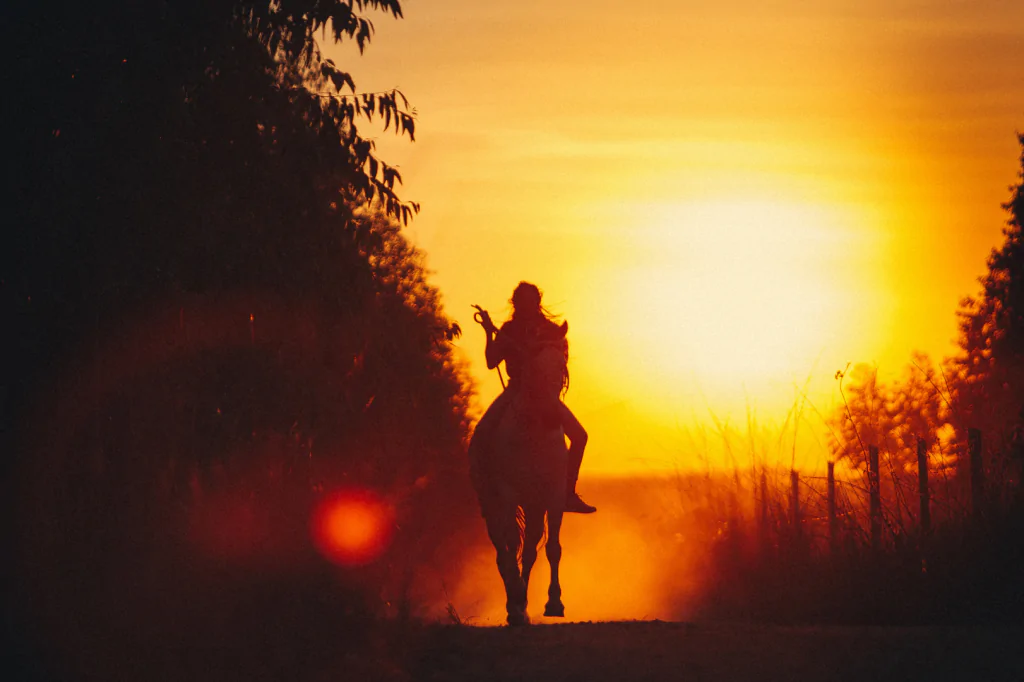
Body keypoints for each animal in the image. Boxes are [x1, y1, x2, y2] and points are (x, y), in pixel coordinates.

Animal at [471, 333, 569, 622]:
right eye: (533, 368)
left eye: (562, 367)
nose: (551, 415)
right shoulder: (507, 495)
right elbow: (511, 543)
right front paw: (516, 598)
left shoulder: (554, 497)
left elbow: (553, 548)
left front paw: (554, 603)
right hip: (491, 506)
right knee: (503, 552)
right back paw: (514, 604)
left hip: (533, 506)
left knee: (528, 552)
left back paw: (522, 602)